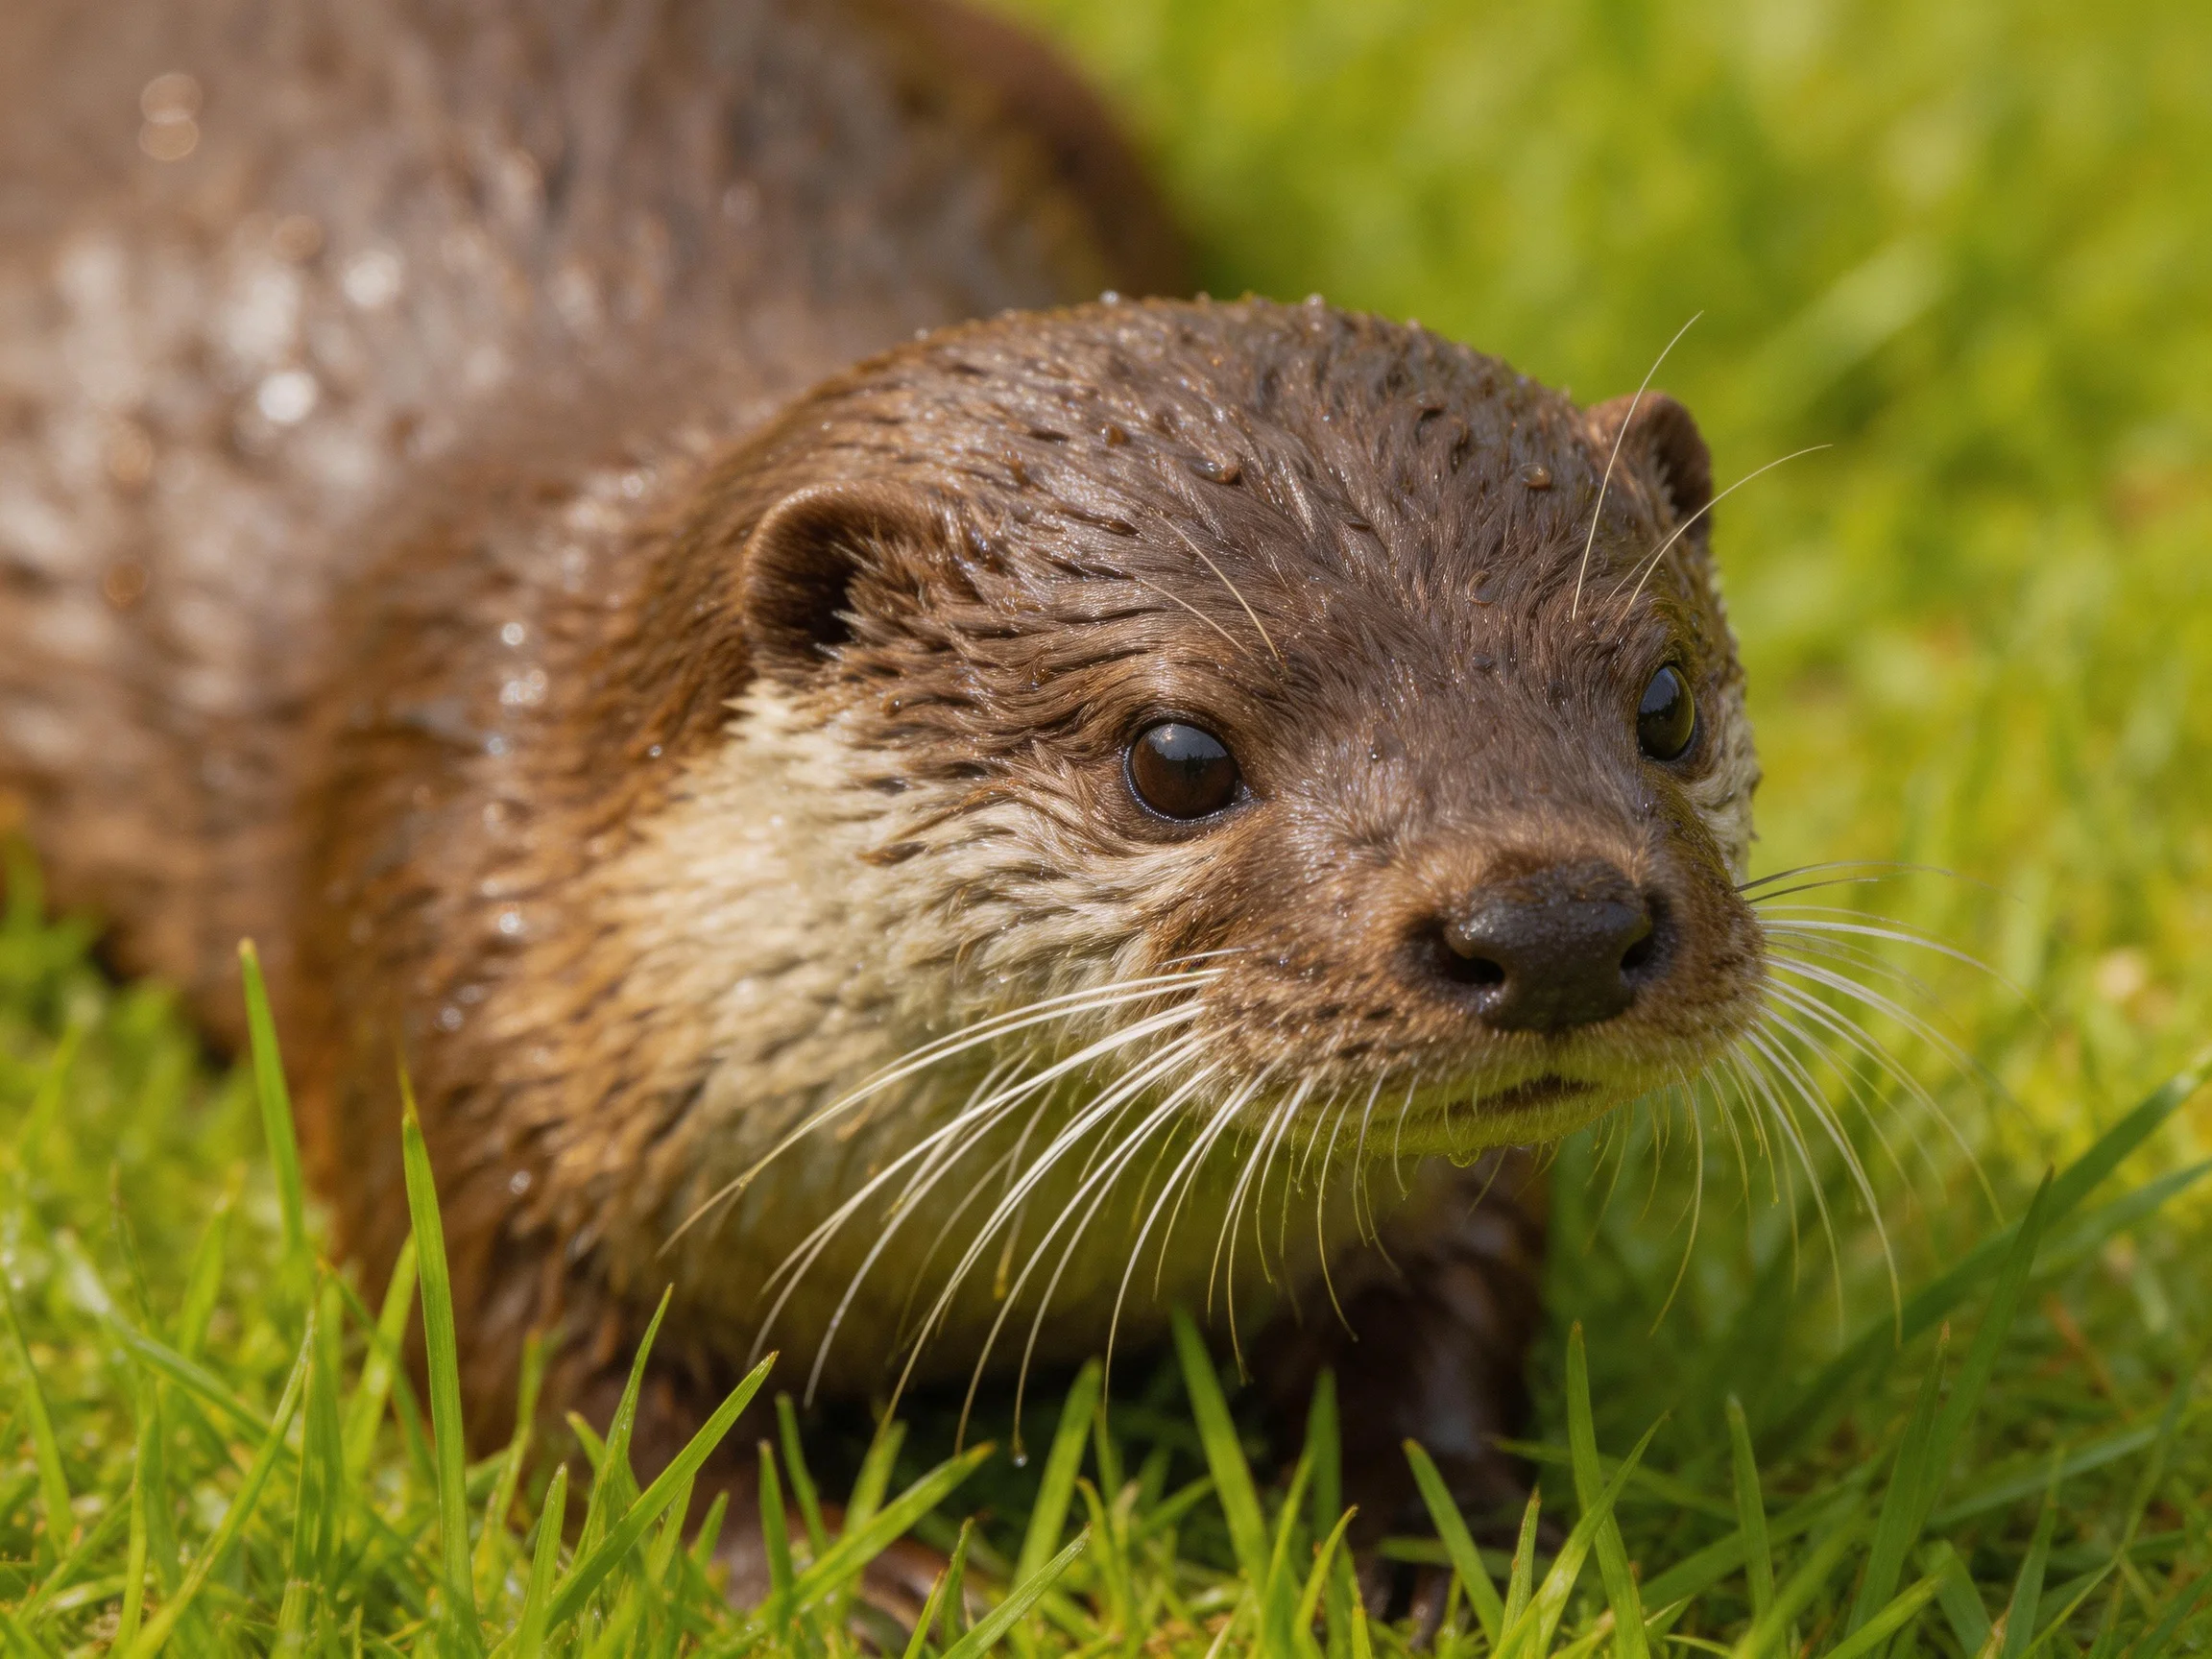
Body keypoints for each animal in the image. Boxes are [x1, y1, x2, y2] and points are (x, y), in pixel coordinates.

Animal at [0, 0, 1764, 1567]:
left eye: (1663, 700)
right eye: (1177, 758)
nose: (1550, 923)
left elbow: (1455, 1302)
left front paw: (1443, 1532)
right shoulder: (445, 957)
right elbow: (534, 1384)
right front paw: (829, 1576)